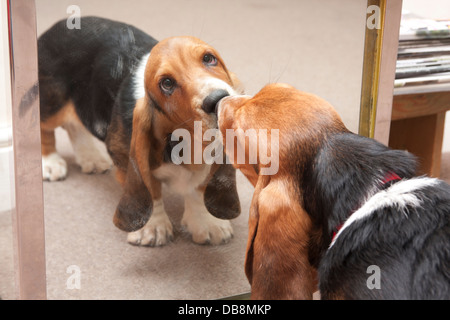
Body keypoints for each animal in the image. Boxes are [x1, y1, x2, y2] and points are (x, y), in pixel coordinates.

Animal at [36, 16, 243, 248]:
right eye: (167, 83)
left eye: (209, 58)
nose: (217, 100)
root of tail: (60, 24)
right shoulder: (124, 155)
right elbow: (150, 189)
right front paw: (152, 229)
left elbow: (200, 187)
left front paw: (207, 223)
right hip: (53, 102)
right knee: (44, 127)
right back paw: (50, 163)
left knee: (74, 125)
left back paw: (91, 158)